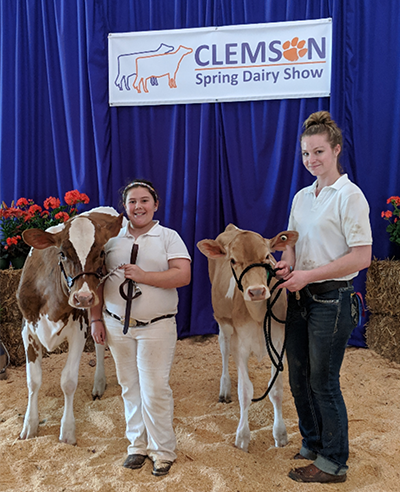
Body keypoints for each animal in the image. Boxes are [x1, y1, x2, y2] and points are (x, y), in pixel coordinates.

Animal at [16, 206, 123, 444]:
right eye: (62, 253)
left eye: (101, 253)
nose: (83, 298)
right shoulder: (28, 329)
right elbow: (32, 380)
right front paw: (30, 425)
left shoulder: (78, 330)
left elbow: (68, 381)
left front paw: (67, 431)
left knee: (100, 341)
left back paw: (99, 384)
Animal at [198, 225, 298, 452]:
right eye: (233, 260)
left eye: (268, 256)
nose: (257, 291)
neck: (258, 315)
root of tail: (232, 228)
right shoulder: (240, 346)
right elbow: (244, 392)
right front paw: (242, 437)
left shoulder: (278, 344)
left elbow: (276, 390)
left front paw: (280, 434)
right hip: (222, 323)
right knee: (224, 350)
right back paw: (225, 388)